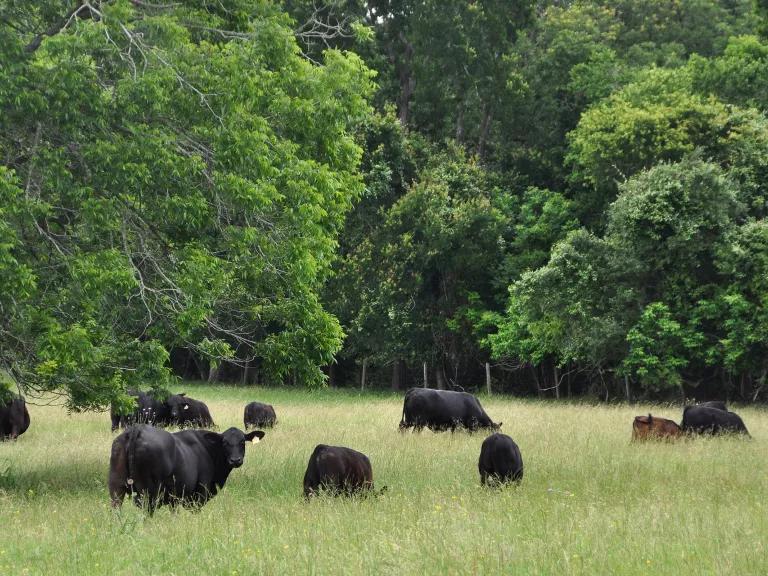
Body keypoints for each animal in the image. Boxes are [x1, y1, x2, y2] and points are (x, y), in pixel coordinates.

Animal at [108, 420, 264, 510]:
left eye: (242, 441)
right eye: (224, 442)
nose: (235, 460)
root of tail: (137, 429)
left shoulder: (176, 498)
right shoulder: (199, 494)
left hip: (116, 487)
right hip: (148, 492)